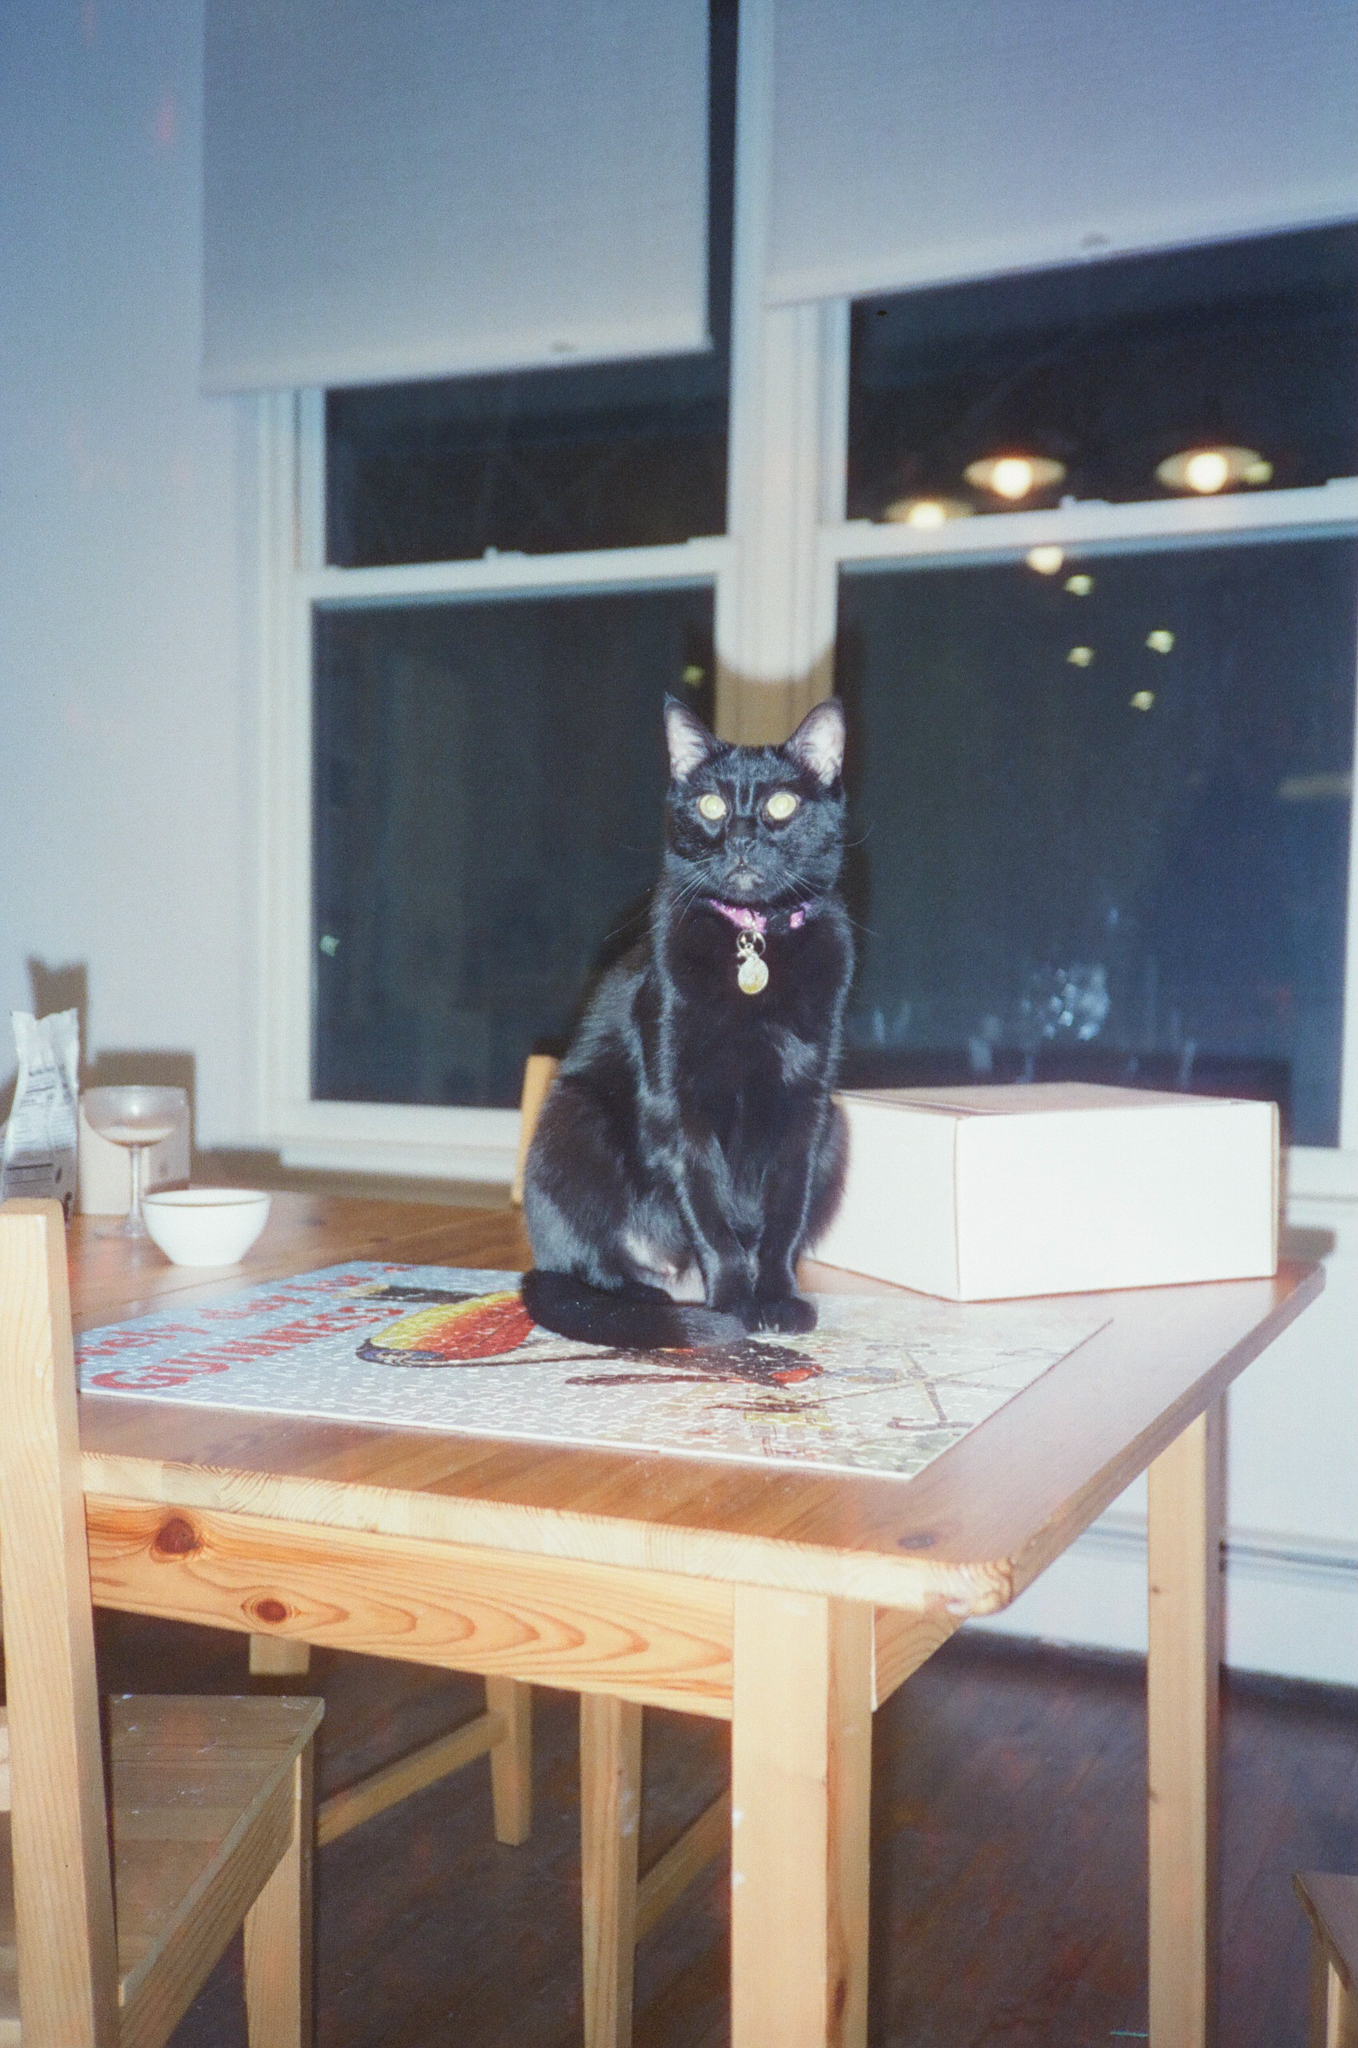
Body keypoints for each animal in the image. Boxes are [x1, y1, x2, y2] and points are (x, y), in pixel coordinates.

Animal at [522, 696, 856, 1351]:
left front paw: (777, 1301)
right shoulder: (679, 1104)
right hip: (572, 1116)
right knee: (590, 1264)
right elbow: (709, 1213)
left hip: (838, 1130)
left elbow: (785, 1214)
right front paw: (732, 1305)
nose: (742, 839)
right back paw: (644, 1301)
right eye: (711, 806)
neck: (753, 935)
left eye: (783, 805)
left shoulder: (807, 1107)